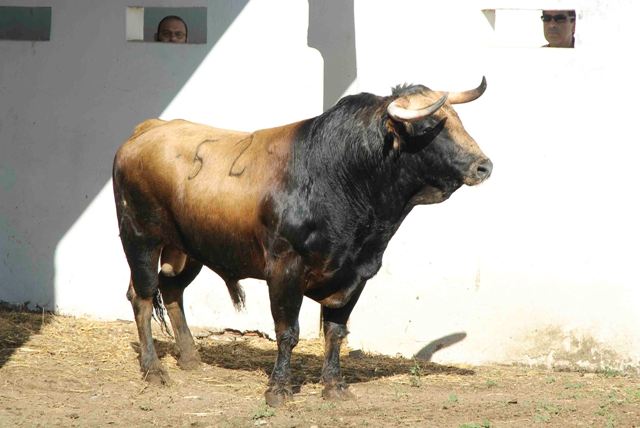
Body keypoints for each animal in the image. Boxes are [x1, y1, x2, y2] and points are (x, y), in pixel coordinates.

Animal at [112, 77, 492, 408]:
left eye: (457, 119)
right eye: (430, 127)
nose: (483, 166)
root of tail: (148, 129)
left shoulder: (357, 273)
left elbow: (336, 331)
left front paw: (334, 387)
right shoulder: (285, 267)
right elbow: (288, 331)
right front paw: (278, 389)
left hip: (188, 248)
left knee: (172, 289)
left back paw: (191, 358)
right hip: (140, 238)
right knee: (142, 296)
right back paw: (154, 370)